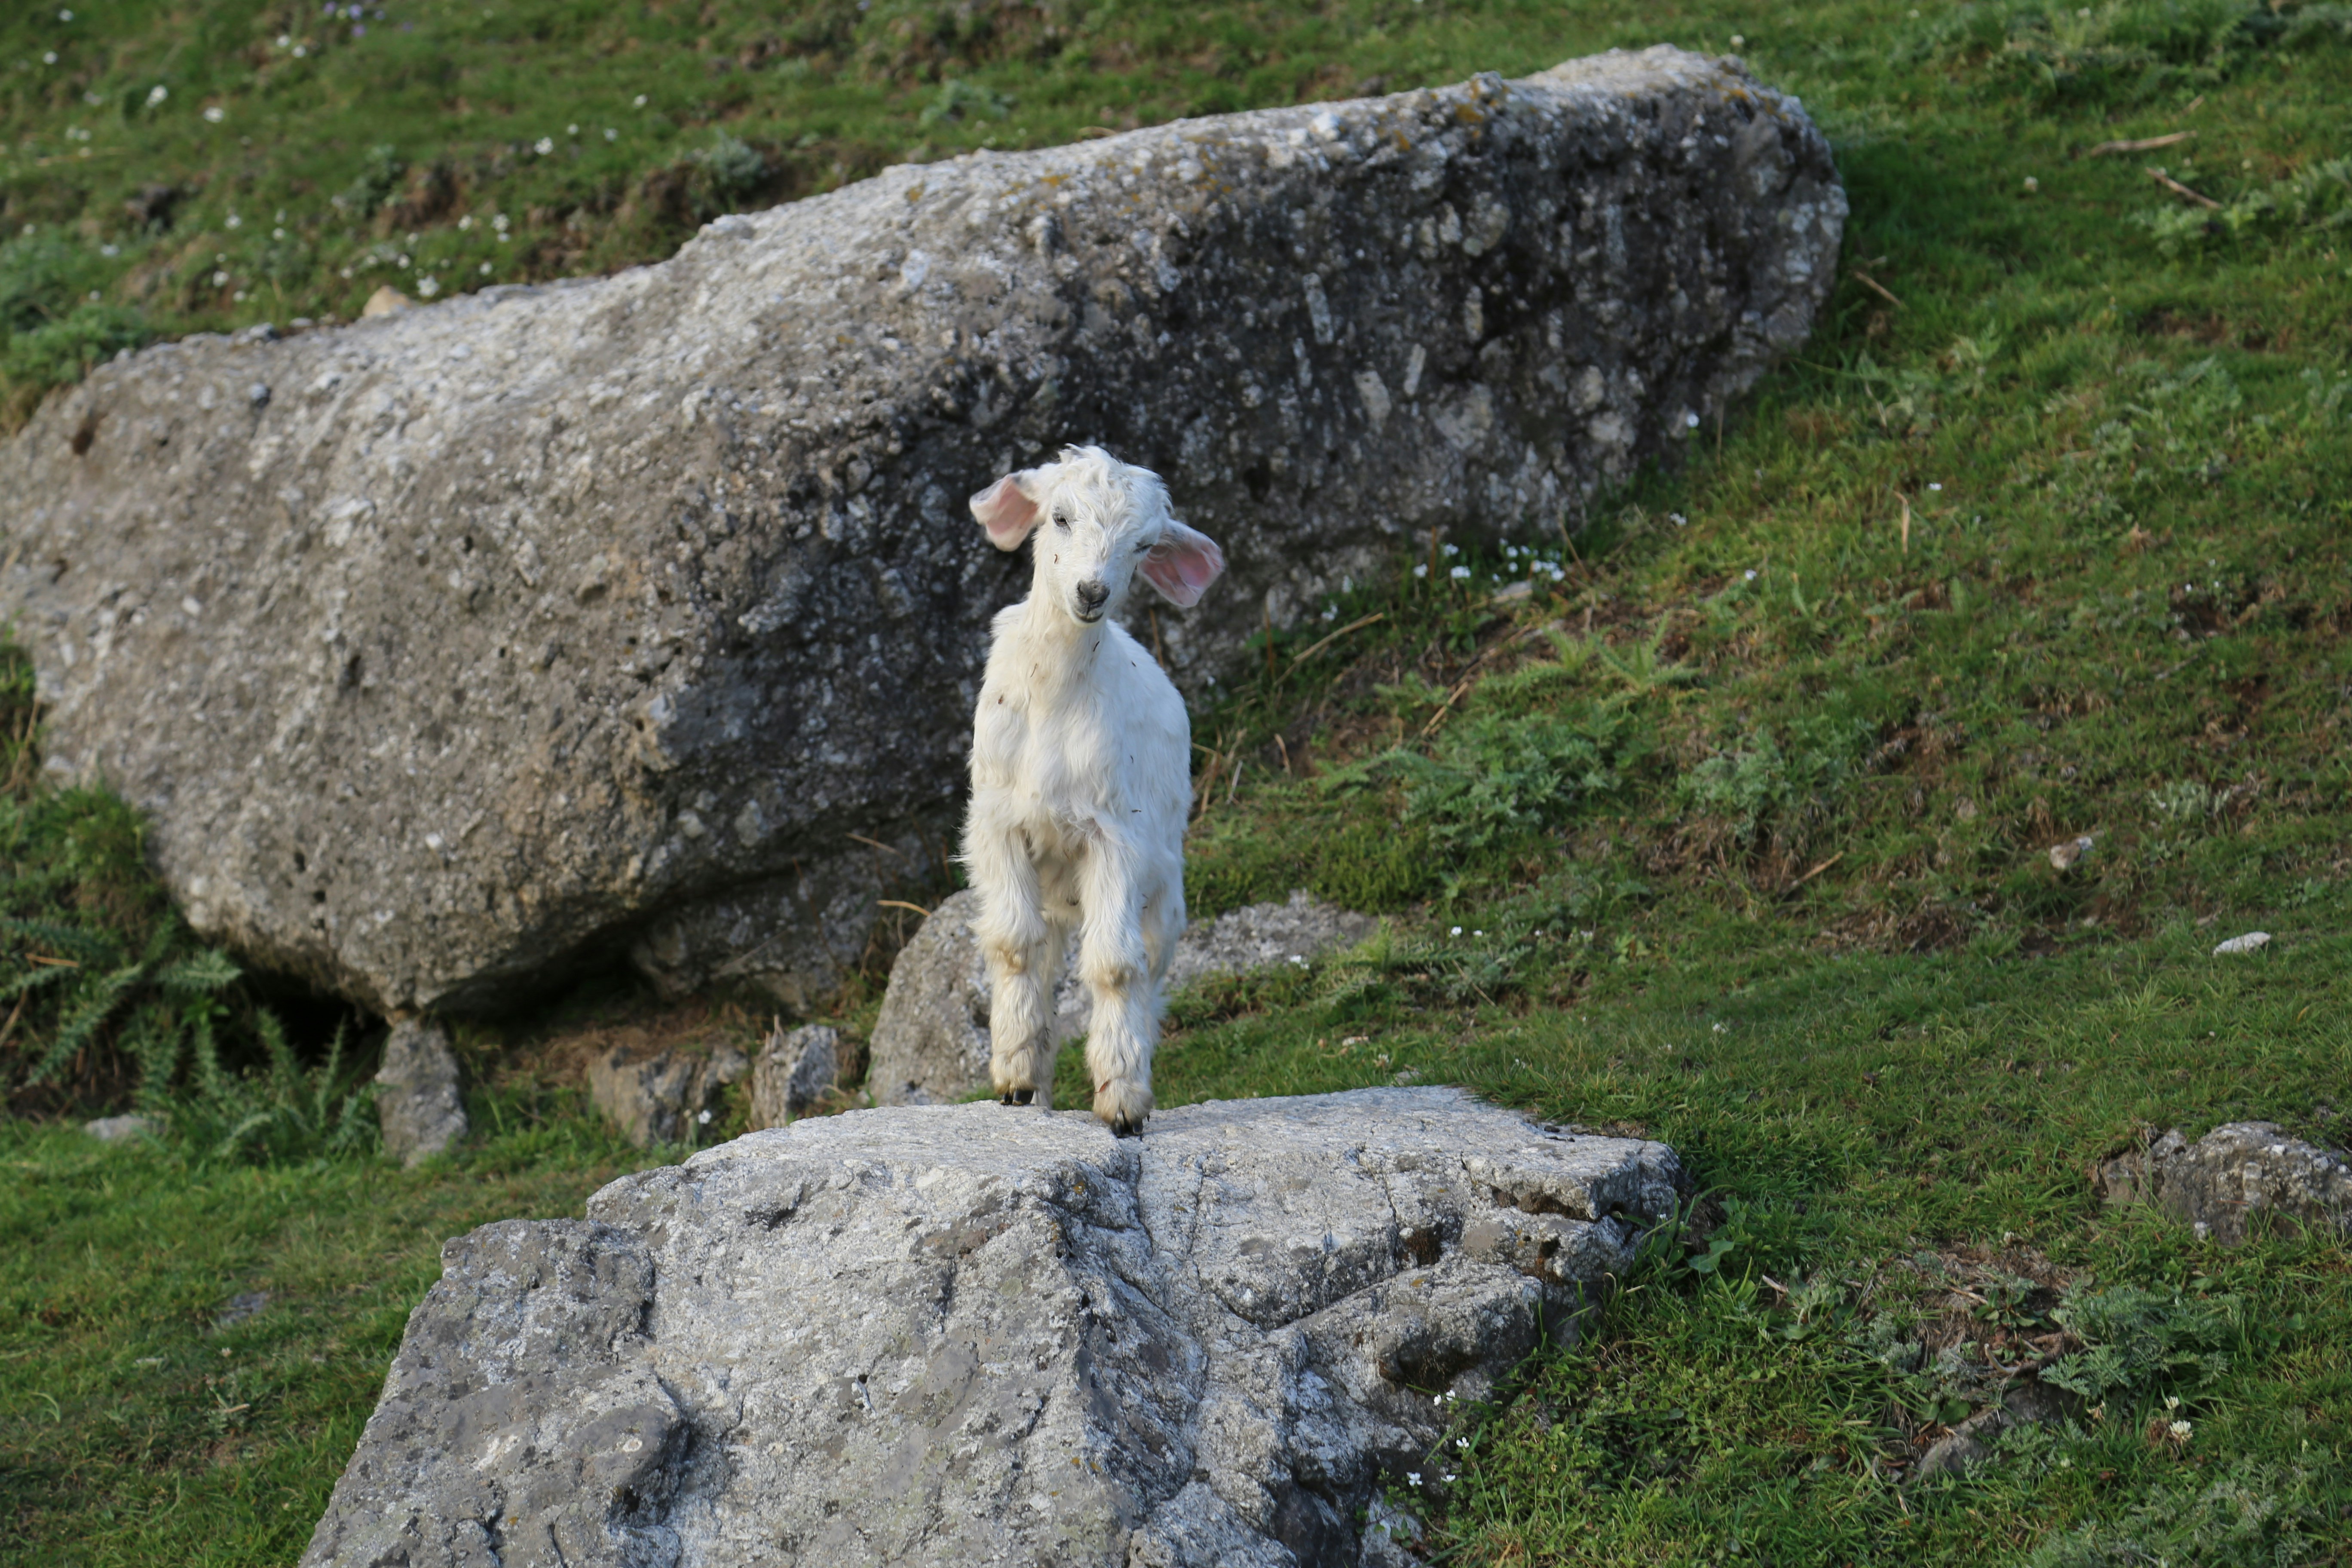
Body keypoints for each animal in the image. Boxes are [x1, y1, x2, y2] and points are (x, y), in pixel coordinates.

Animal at [963, 445, 1226, 1135]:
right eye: (1058, 516)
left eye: (1144, 545)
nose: (1091, 592)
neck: (1054, 695)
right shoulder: (997, 824)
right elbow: (1015, 944)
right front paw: (1015, 1079)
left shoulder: (1115, 836)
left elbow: (1114, 965)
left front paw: (1124, 1101)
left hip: (1165, 886)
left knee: (1149, 968)